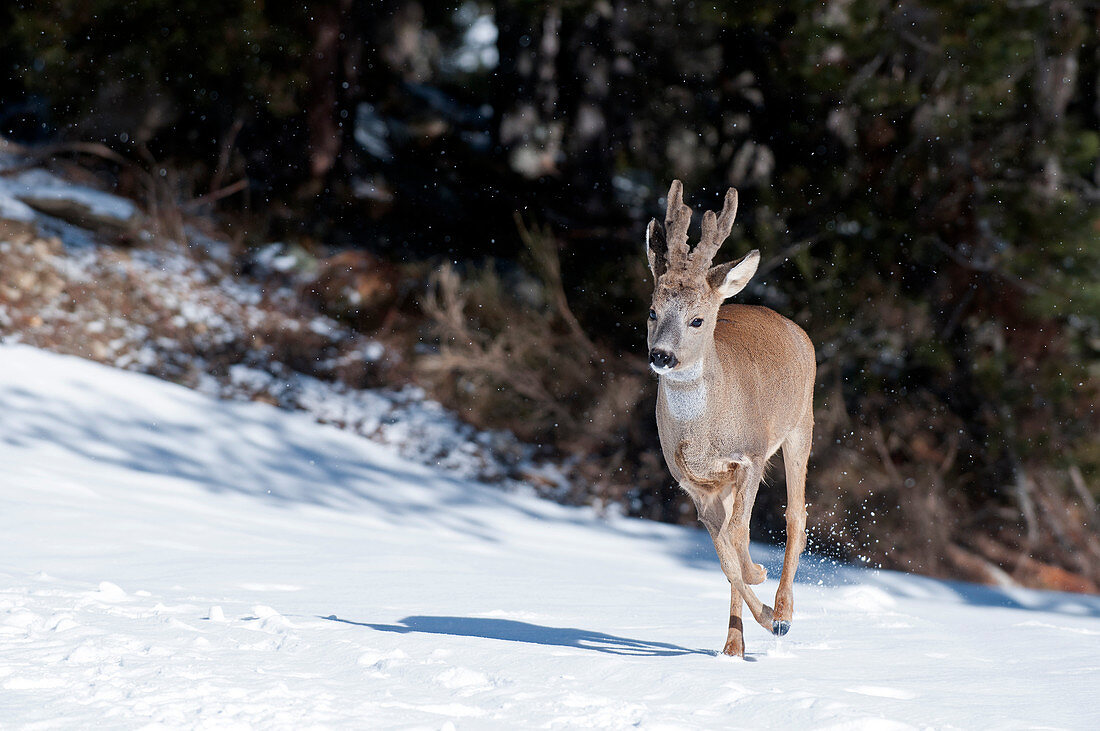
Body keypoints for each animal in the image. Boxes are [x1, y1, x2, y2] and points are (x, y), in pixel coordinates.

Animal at [642, 181, 818, 655]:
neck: (703, 436)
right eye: (652, 311)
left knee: (797, 518)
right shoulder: (694, 484)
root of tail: (794, 327)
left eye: (697, 320)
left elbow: (739, 533)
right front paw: (761, 617)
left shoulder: (751, 455)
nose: (661, 355)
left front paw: (773, 607)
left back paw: (786, 610)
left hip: (801, 425)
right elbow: (723, 553)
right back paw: (735, 645)